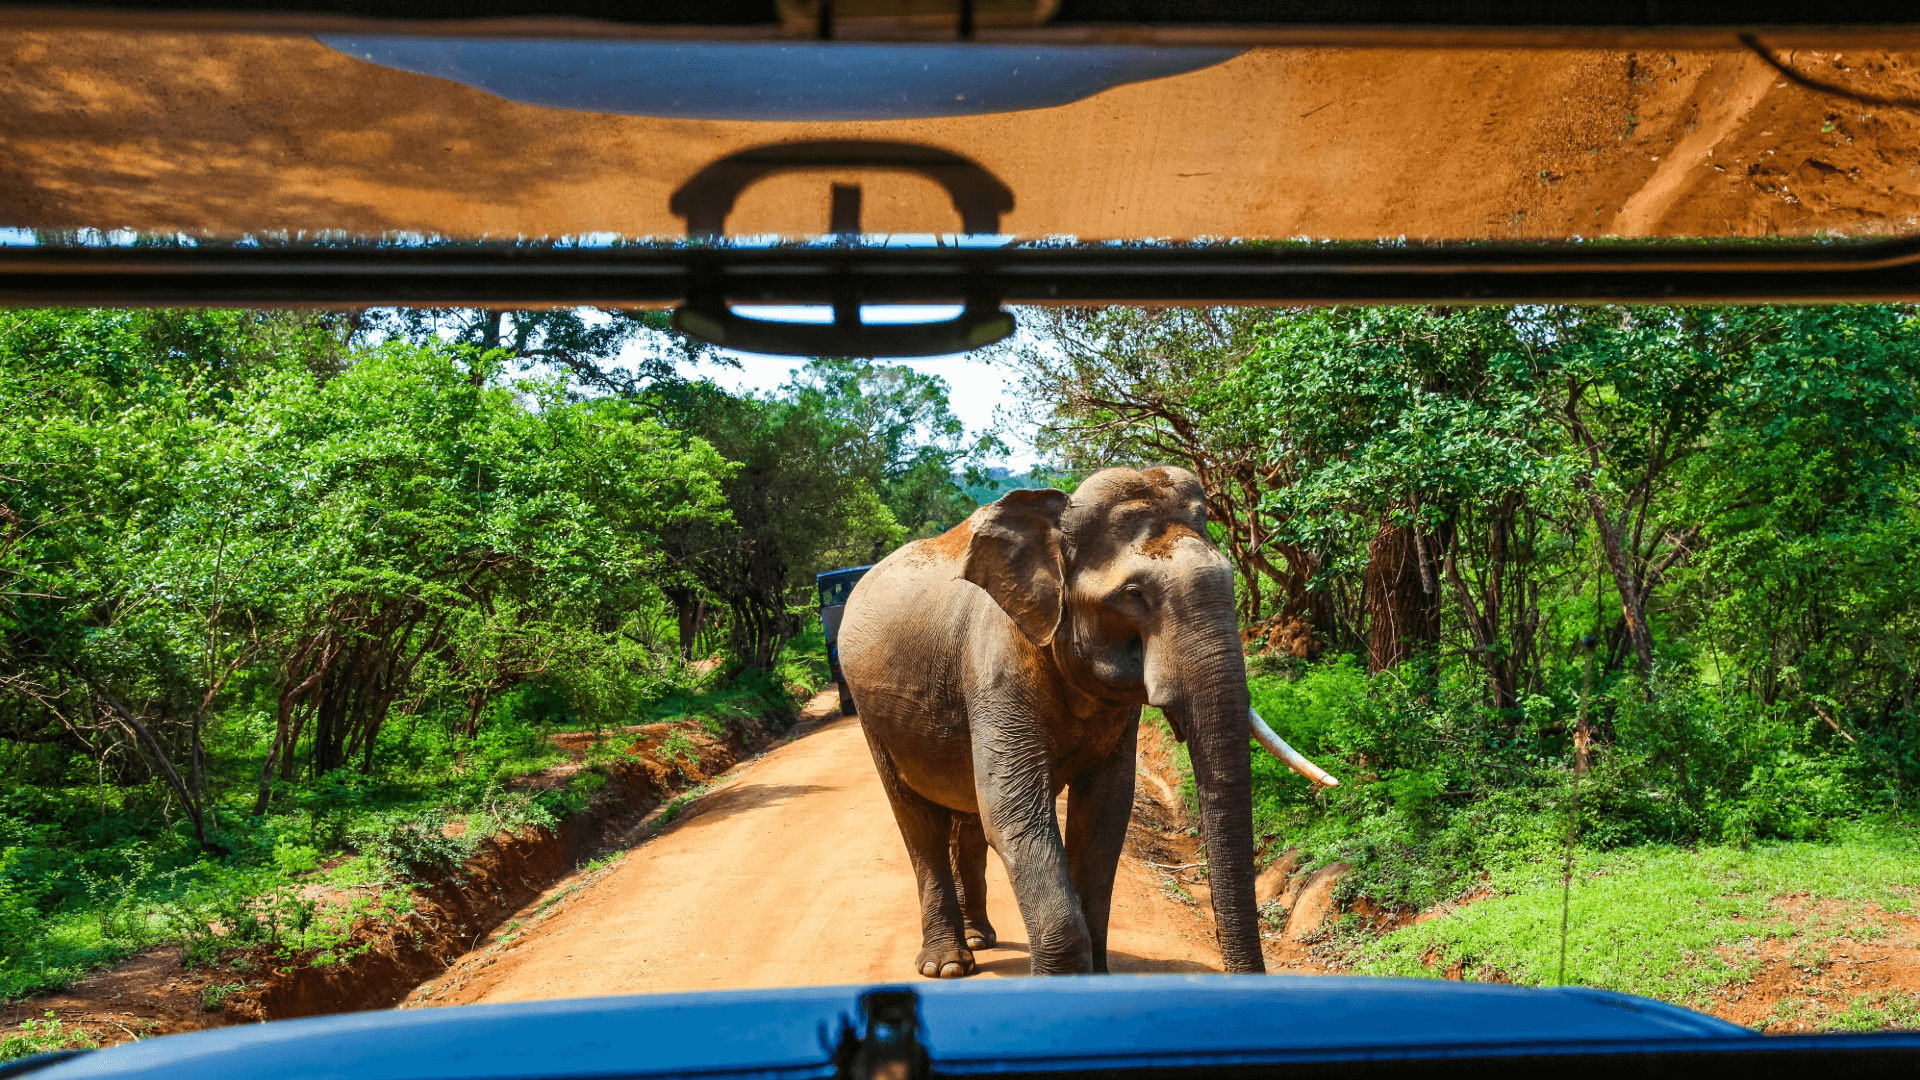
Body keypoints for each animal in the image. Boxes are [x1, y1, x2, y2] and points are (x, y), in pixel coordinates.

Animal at [838, 465, 1335, 979]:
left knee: (967, 816)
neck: (1057, 521)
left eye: (1232, 581)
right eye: (1134, 595)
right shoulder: (995, 667)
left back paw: (979, 938)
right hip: (872, 716)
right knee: (917, 822)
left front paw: (1095, 976)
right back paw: (948, 965)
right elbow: (1013, 811)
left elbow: (1105, 810)